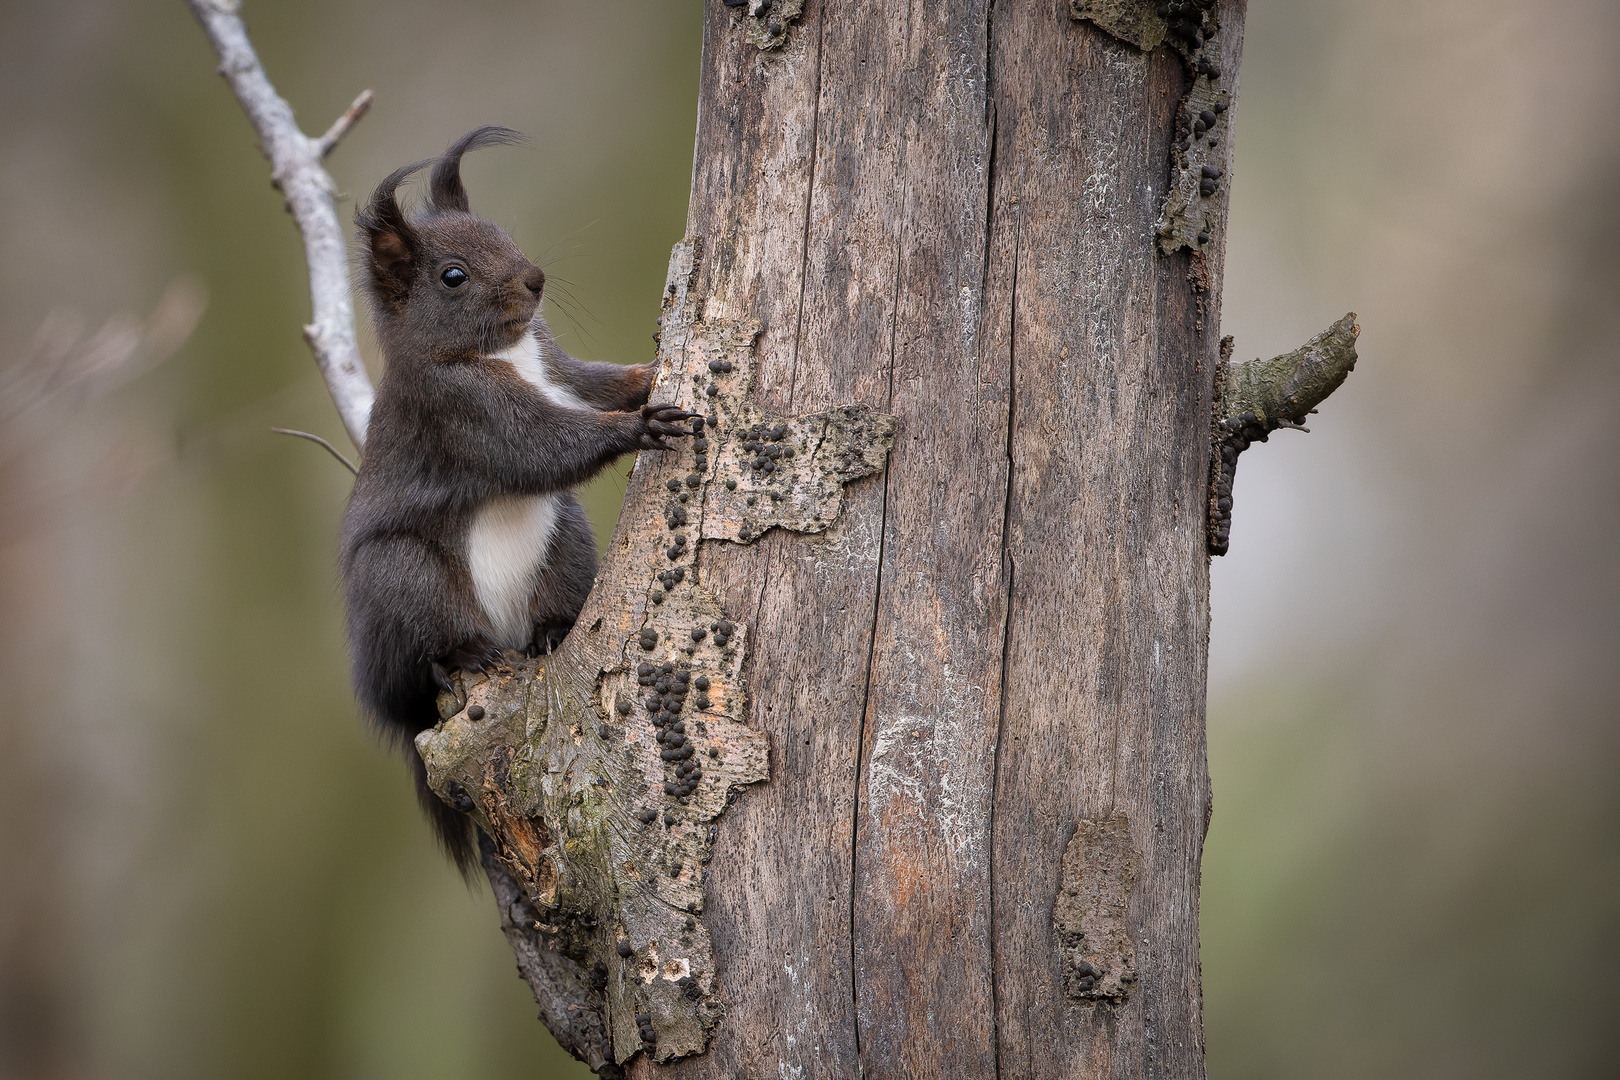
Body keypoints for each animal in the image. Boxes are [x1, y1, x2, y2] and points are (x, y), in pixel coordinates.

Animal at [338, 127, 693, 874]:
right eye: (452, 276)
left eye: (503, 232)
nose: (534, 278)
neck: (504, 353)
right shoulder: (459, 413)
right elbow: (539, 448)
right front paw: (638, 428)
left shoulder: (559, 367)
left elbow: (597, 382)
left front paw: (650, 372)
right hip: (402, 579)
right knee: (426, 649)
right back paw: (465, 655)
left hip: (565, 543)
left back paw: (553, 630)